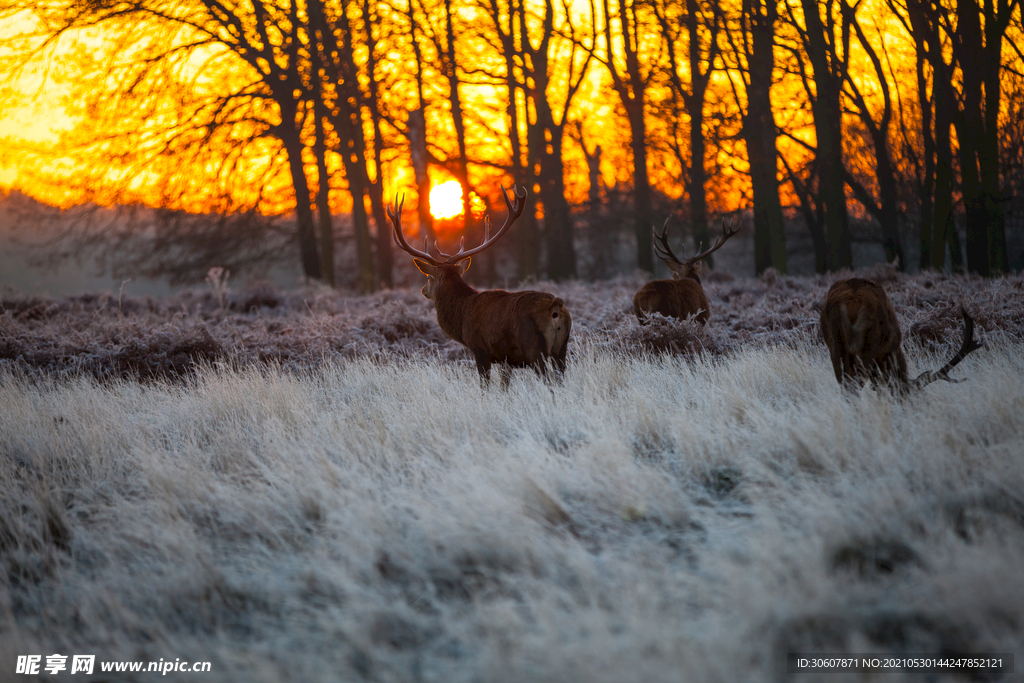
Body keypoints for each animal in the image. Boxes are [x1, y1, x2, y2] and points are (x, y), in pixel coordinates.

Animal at [387, 185, 573, 385]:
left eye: (428, 277)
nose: (423, 290)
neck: (461, 319)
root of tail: (555, 306)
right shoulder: (505, 359)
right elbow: (504, 385)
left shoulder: (480, 350)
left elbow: (485, 386)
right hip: (562, 348)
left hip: (534, 348)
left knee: (548, 381)